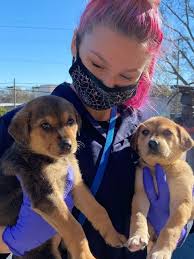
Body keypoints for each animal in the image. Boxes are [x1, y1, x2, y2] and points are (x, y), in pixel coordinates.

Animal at [0, 96, 126, 259]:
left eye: (70, 121)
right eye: (45, 125)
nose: (67, 145)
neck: (53, 160)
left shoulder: (77, 185)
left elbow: (98, 210)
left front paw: (113, 236)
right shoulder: (46, 194)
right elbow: (75, 228)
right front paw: (86, 256)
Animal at [126, 116, 194, 259]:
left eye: (168, 132)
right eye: (145, 132)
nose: (152, 143)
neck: (161, 167)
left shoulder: (182, 202)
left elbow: (170, 228)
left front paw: (161, 251)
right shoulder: (141, 195)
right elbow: (138, 216)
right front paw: (137, 236)